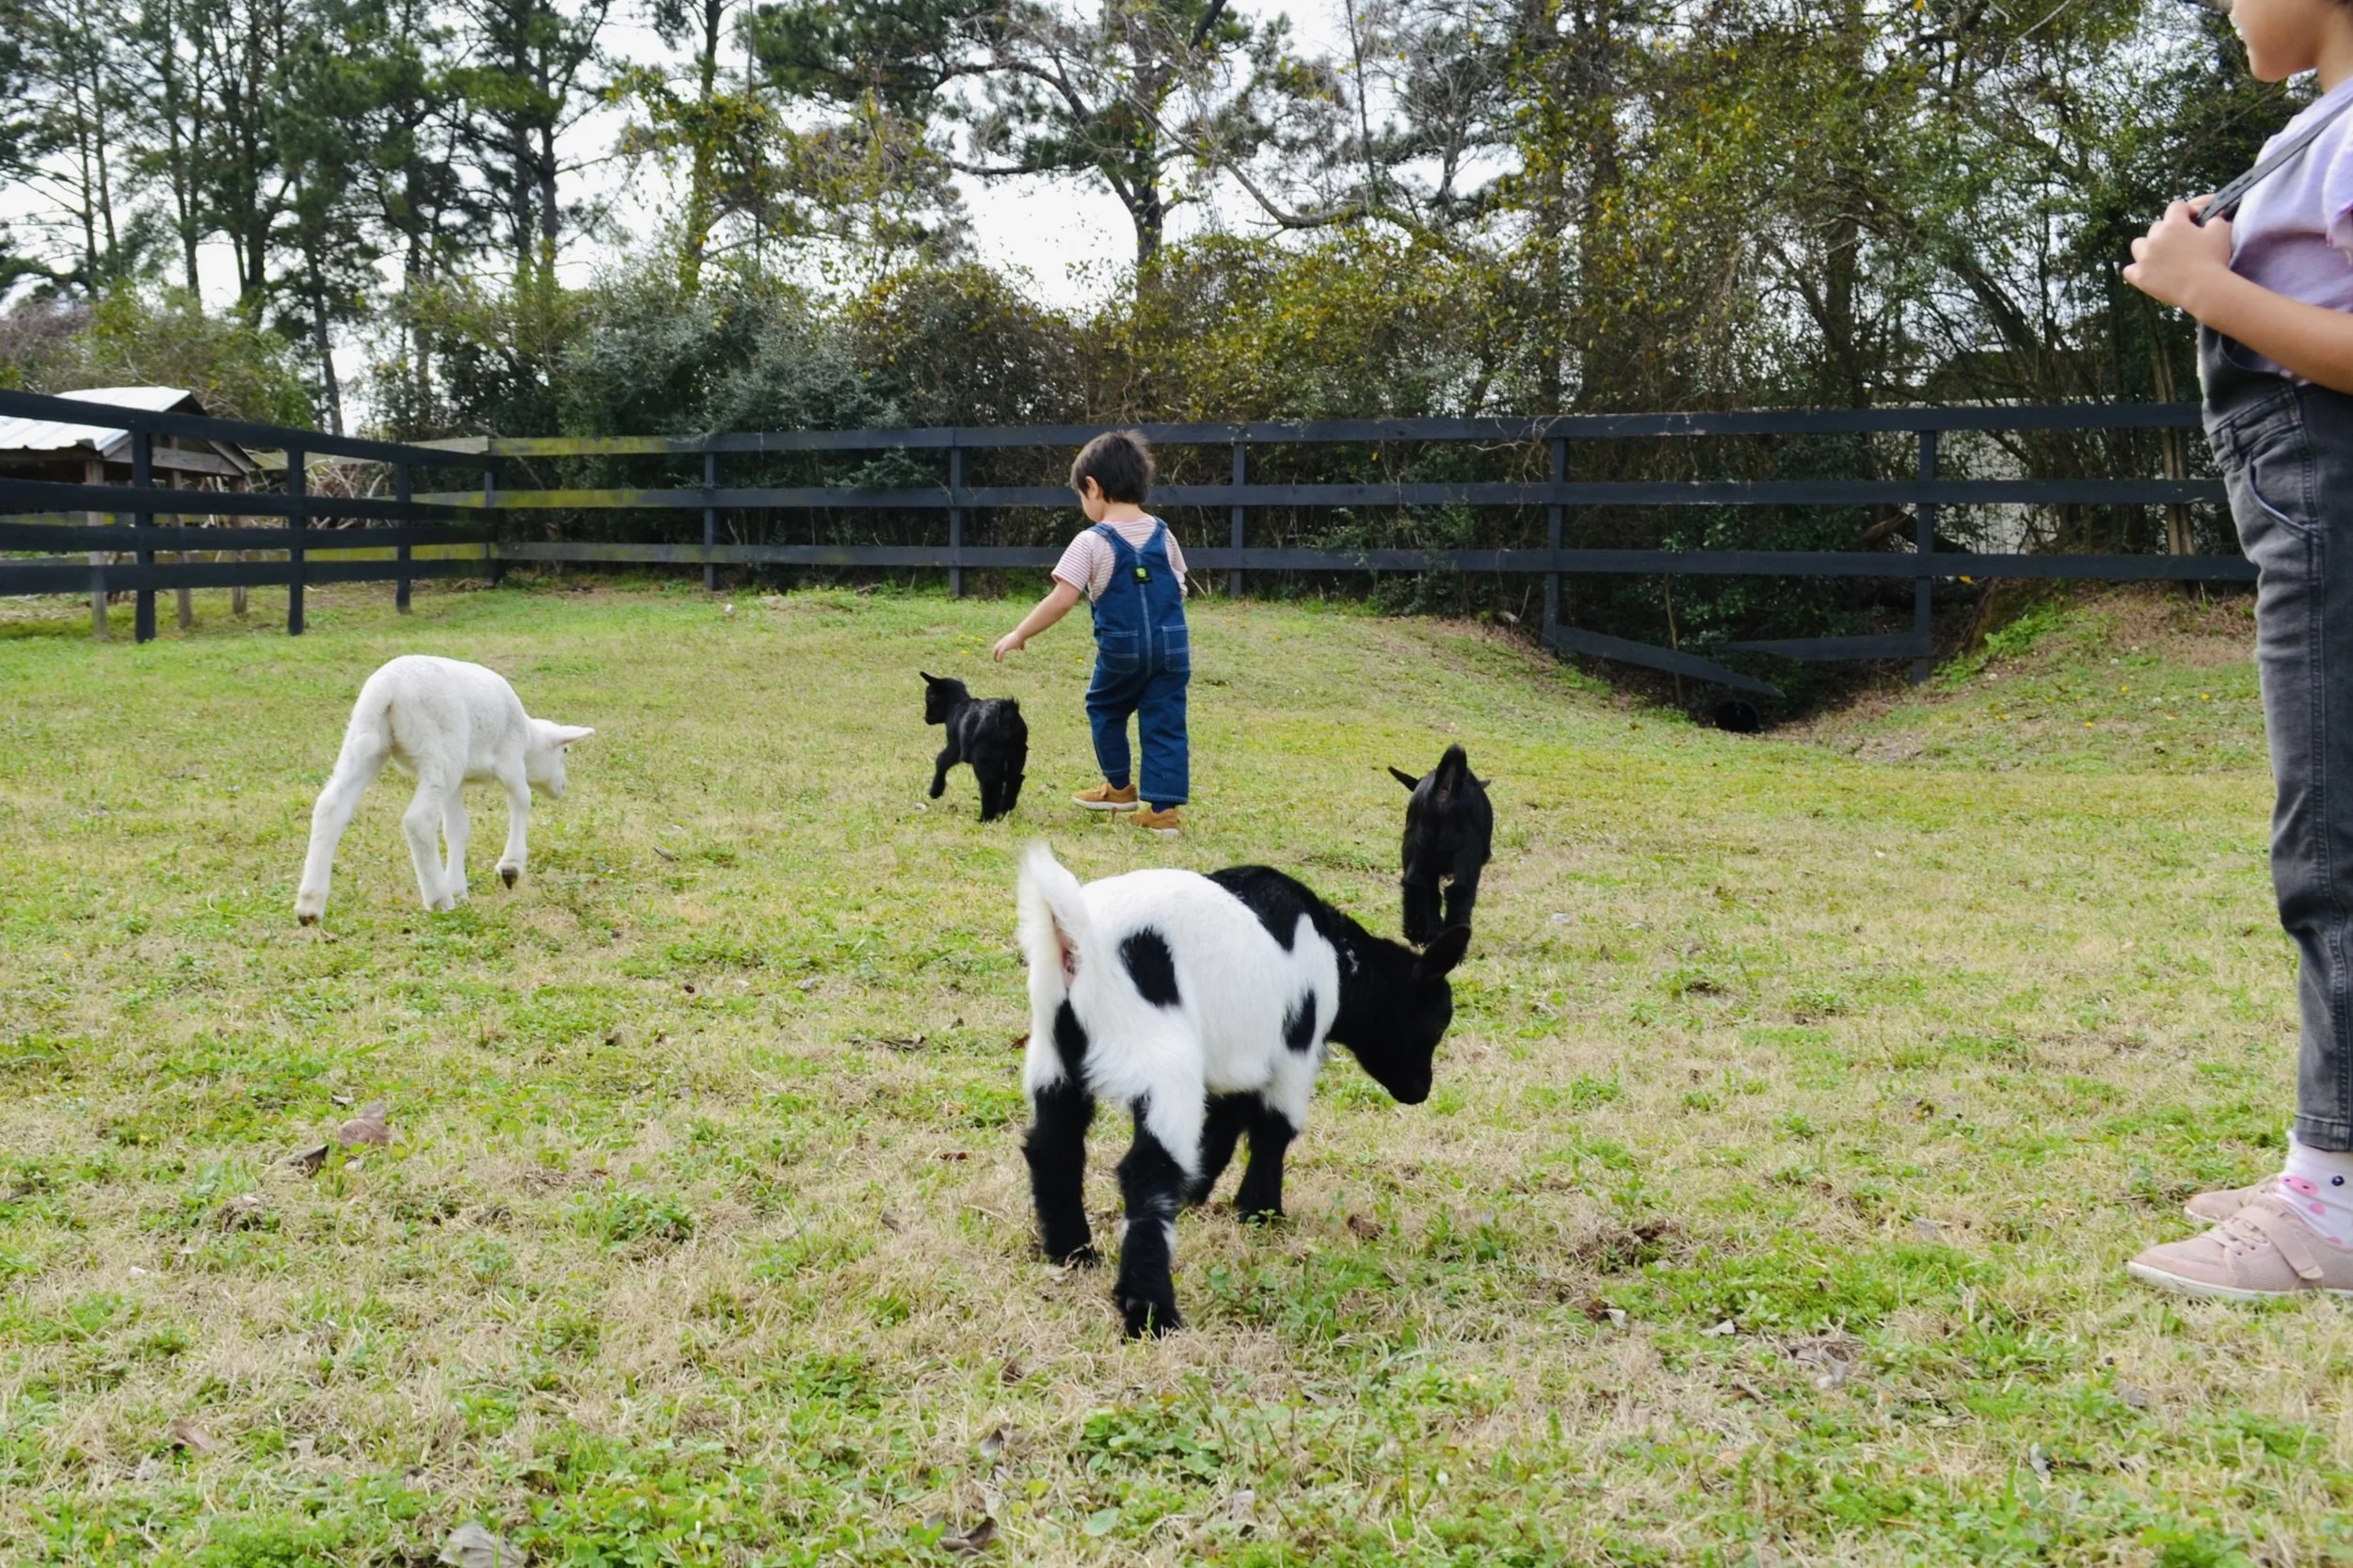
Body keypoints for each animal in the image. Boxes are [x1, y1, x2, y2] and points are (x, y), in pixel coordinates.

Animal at [294, 656, 593, 925]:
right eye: (565, 751)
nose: (562, 787)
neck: (529, 740)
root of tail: (388, 686)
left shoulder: (457, 783)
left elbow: (458, 828)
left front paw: (459, 889)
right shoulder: (510, 759)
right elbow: (522, 799)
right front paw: (511, 867)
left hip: (369, 744)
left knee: (330, 807)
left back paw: (310, 906)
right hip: (441, 749)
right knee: (418, 820)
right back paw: (439, 899)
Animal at [922, 672, 1028, 822]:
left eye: (929, 697)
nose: (926, 718)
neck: (957, 704)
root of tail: (1007, 715)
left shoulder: (956, 747)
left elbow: (941, 760)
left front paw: (935, 790)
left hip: (982, 757)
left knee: (989, 783)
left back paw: (985, 817)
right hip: (1017, 754)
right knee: (1015, 779)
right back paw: (1004, 808)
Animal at [1016, 842, 1472, 1337]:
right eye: (1436, 1021)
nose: (1420, 1091)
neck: (1337, 958)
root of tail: (1078, 938)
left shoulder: (1236, 1058)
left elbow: (1224, 1124)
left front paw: (1200, 1194)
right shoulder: (1293, 1053)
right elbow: (1274, 1131)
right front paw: (1260, 1212)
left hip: (1054, 1058)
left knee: (1053, 1147)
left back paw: (1072, 1252)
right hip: (1162, 1059)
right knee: (1147, 1172)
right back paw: (1152, 1313)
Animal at [1388, 743, 1493, 946]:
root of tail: (1445, 788)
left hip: (1415, 846)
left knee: (1415, 884)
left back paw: (1418, 933)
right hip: (1466, 853)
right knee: (1460, 892)